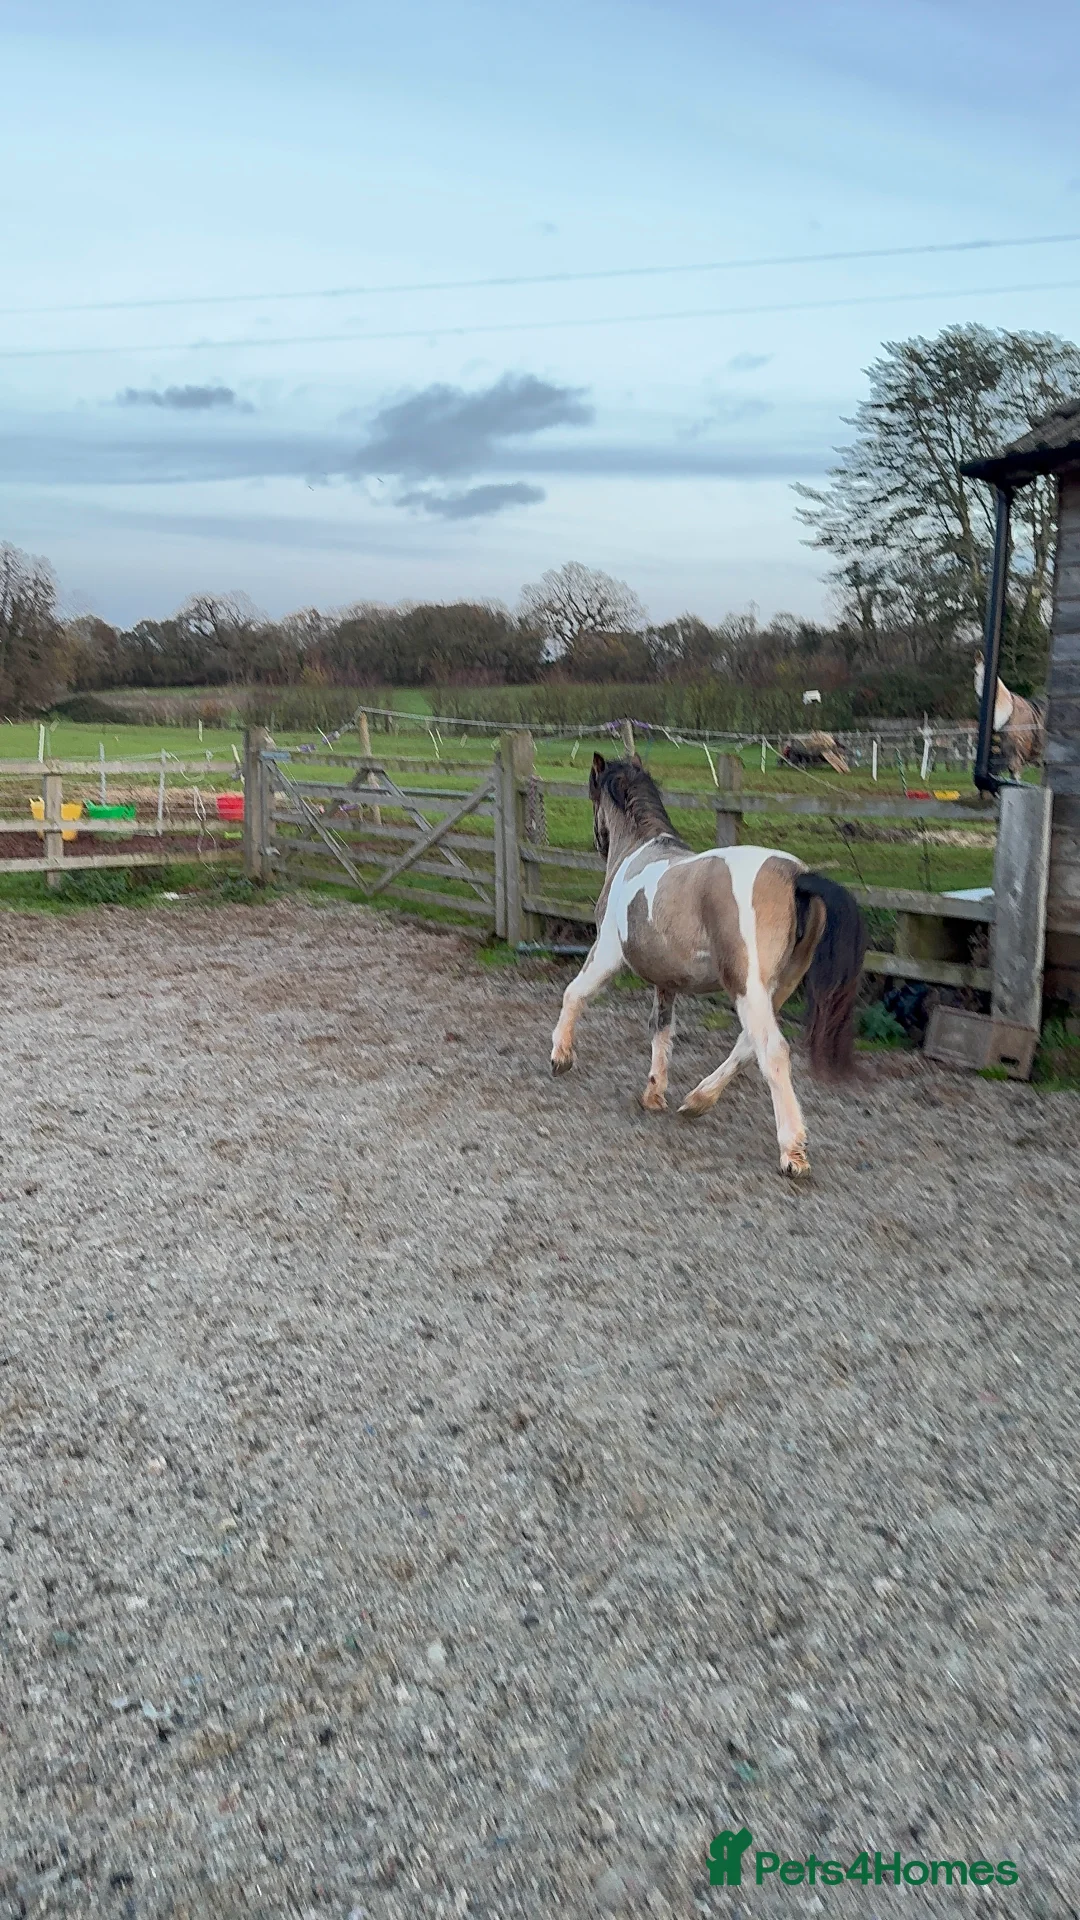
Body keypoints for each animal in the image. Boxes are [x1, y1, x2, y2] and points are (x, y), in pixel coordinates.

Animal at [550, 755, 867, 1178]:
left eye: (591, 793)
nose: (599, 844)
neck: (639, 851)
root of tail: (796, 876)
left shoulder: (608, 953)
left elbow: (575, 993)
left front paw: (561, 1057)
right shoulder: (666, 980)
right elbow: (661, 1031)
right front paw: (654, 1094)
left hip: (747, 986)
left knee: (772, 1050)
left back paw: (792, 1152)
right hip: (777, 987)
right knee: (747, 1045)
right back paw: (696, 1101)